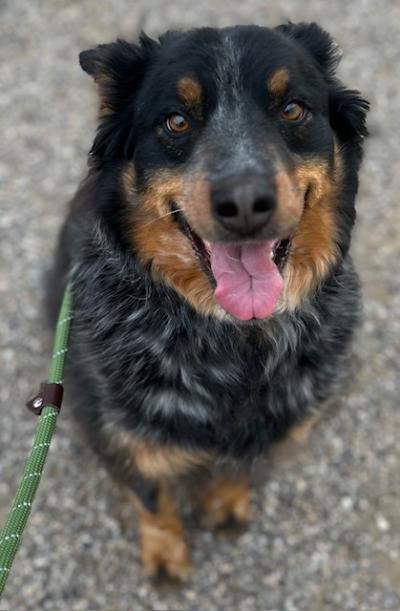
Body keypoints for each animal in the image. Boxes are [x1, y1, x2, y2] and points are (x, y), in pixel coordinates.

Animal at [47, 22, 368, 580]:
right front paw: (165, 554)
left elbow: (237, 467)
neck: (236, 337)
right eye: (176, 121)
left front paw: (224, 504)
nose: (244, 203)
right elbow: (151, 495)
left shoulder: (277, 422)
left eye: (293, 109)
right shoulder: (115, 427)